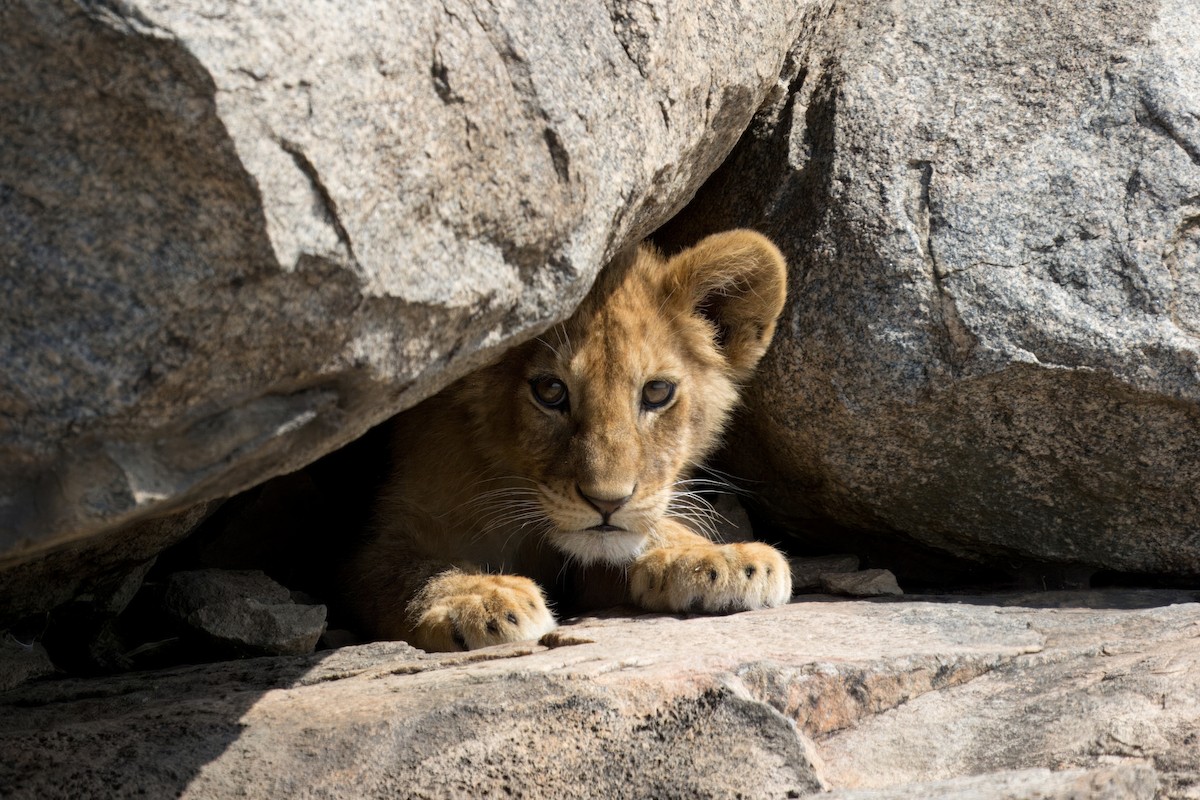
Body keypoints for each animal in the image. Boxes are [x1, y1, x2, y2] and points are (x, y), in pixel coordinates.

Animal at [339, 230, 792, 651]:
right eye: (550, 390)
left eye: (657, 392)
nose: (607, 503)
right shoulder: (384, 538)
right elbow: (404, 572)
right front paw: (477, 599)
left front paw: (715, 557)